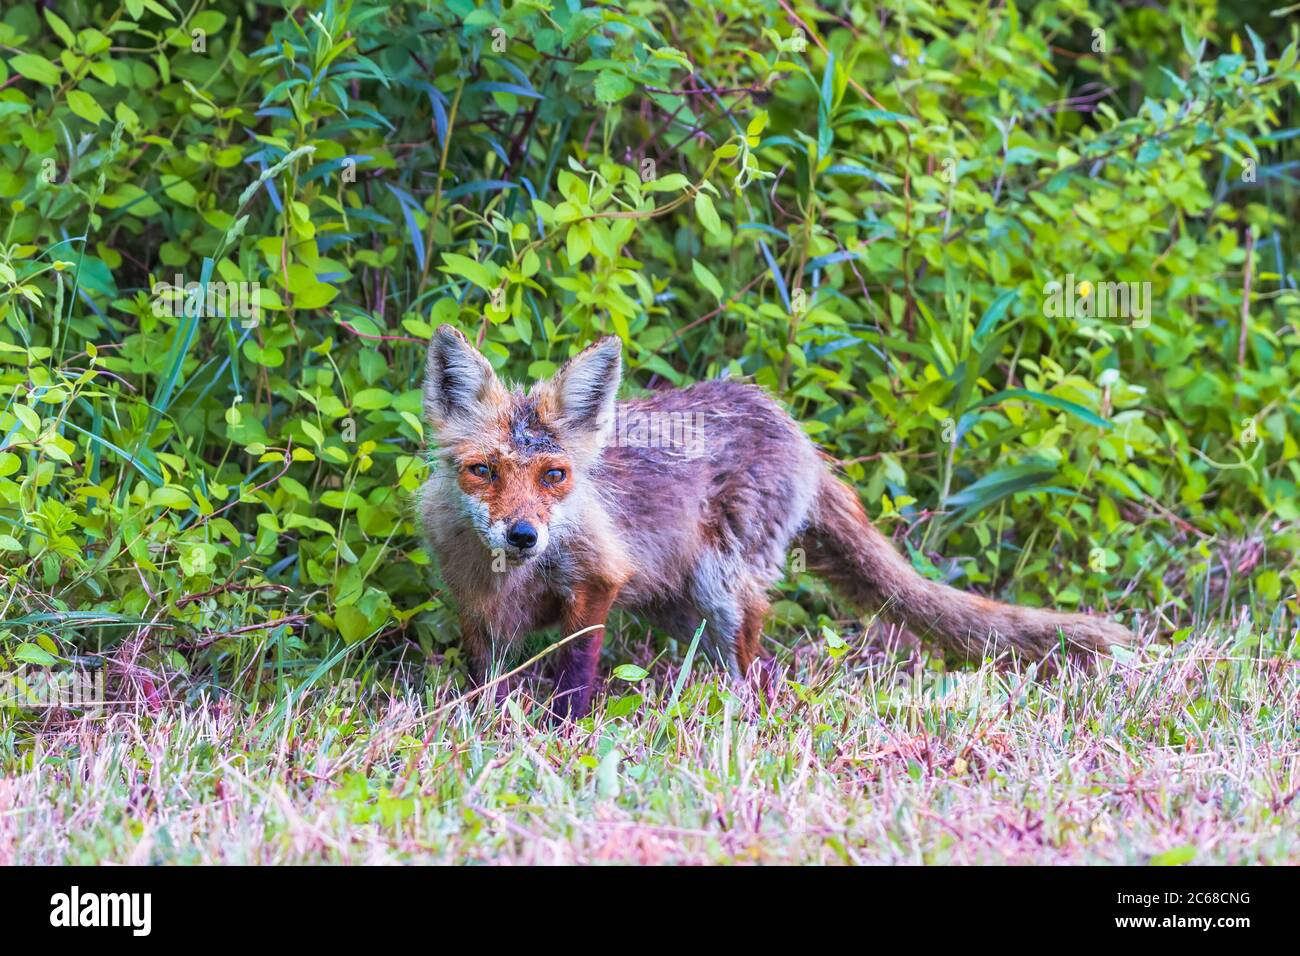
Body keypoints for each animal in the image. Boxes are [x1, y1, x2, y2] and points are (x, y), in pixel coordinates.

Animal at [419, 325, 1133, 719]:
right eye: (483, 471)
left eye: (554, 476)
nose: (523, 535)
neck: (516, 576)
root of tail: (791, 426)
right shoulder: (476, 607)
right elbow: (484, 680)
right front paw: (479, 726)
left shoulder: (598, 578)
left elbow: (574, 673)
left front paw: (563, 734)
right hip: (677, 605)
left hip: (720, 584)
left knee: (753, 661)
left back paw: (738, 714)